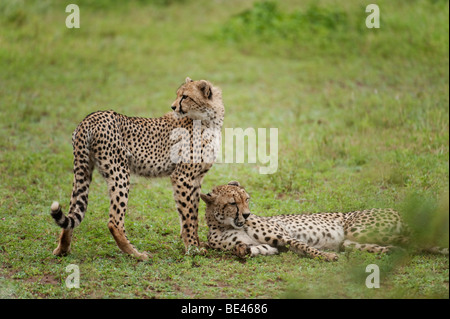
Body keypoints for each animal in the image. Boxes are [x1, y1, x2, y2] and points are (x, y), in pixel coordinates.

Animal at [51, 77, 225, 260]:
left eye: (185, 96)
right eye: (178, 95)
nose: (173, 106)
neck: (209, 120)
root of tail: (90, 117)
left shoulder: (196, 179)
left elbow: (193, 214)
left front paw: (196, 244)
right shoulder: (182, 177)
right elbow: (188, 216)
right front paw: (192, 248)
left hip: (83, 170)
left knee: (73, 211)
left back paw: (62, 249)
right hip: (120, 172)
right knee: (114, 221)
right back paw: (136, 254)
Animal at [200, 181, 426, 262]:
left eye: (246, 199)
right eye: (232, 203)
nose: (246, 215)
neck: (224, 224)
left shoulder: (283, 235)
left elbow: (304, 246)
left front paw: (326, 256)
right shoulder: (270, 246)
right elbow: (249, 248)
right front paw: (241, 250)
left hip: (359, 229)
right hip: (354, 241)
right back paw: (393, 251)